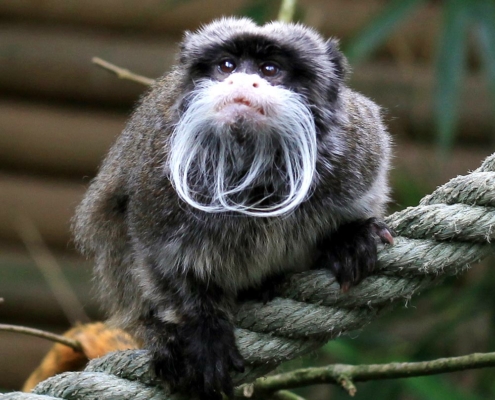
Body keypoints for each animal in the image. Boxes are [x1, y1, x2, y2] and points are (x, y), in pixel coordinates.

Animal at [72, 17, 396, 400]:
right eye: (226, 66)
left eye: (270, 69)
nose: (241, 80)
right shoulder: (157, 186)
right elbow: (161, 261)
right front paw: (204, 329)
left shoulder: (359, 150)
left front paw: (348, 238)